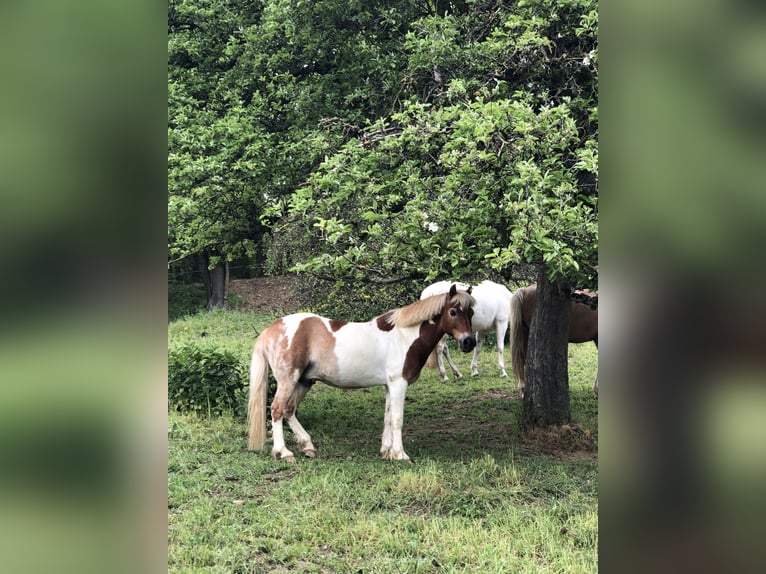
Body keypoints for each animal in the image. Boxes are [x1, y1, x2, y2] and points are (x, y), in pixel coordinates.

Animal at [246, 286, 476, 464]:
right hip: (289, 380)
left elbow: (387, 417)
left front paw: (387, 451)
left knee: (289, 410)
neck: (405, 336)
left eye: (471, 313)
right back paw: (284, 452)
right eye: (453, 312)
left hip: (304, 381)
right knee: (277, 409)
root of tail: (271, 329)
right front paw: (400, 454)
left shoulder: (389, 385)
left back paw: (307, 445)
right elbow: (397, 419)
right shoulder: (398, 383)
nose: (469, 342)